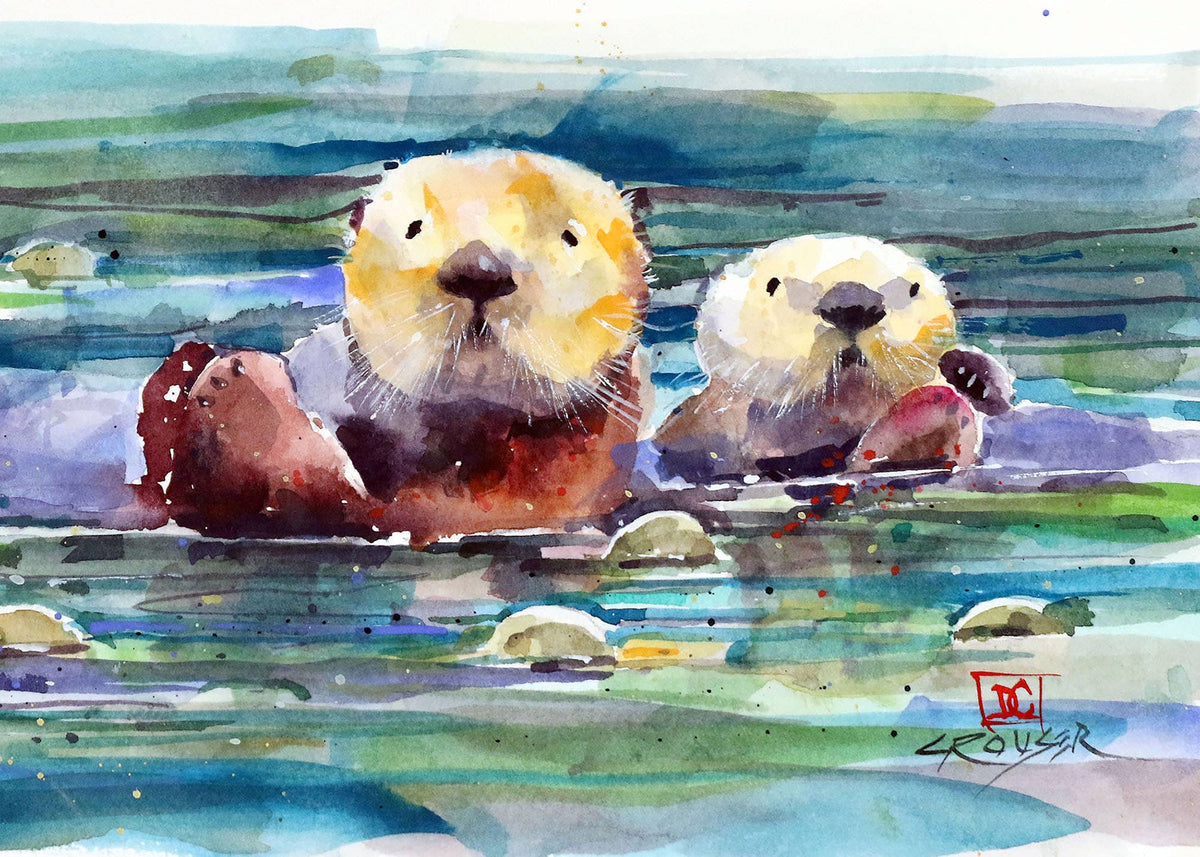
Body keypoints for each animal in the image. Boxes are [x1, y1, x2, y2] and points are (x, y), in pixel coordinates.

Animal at [137, 150, 651, 546]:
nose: (478, 268)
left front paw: (238, 391)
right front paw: (185, 373)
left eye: (569, 237)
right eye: (414, 227)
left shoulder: (532, 493)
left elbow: (341, 499)